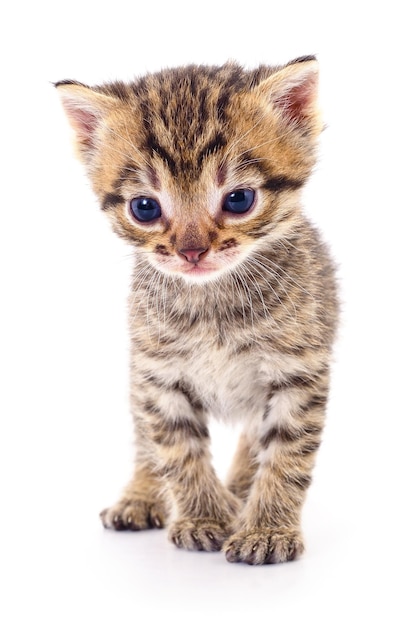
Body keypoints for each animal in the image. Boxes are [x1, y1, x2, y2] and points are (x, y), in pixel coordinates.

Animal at [55, 56, 338, 564]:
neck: (211, 303)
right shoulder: (157, 375)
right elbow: (176, 448)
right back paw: (142, 496)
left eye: (239, 199)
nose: (191, 251)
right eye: (144, 207)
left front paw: (267, 528)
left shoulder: (298, 372)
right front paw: (204, 516)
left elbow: (286, 455)